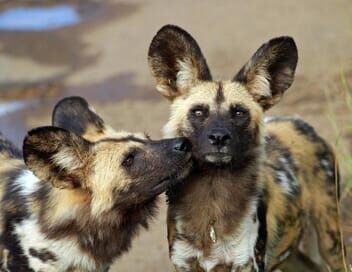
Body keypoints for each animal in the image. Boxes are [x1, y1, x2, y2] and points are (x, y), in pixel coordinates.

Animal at [147, 24, 346, 270]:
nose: (219, 137)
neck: (212, 196)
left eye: (239, 112)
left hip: (330, 243)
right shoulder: (184, 263)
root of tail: (301, 122)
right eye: (199, 112)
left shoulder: (247, 263)